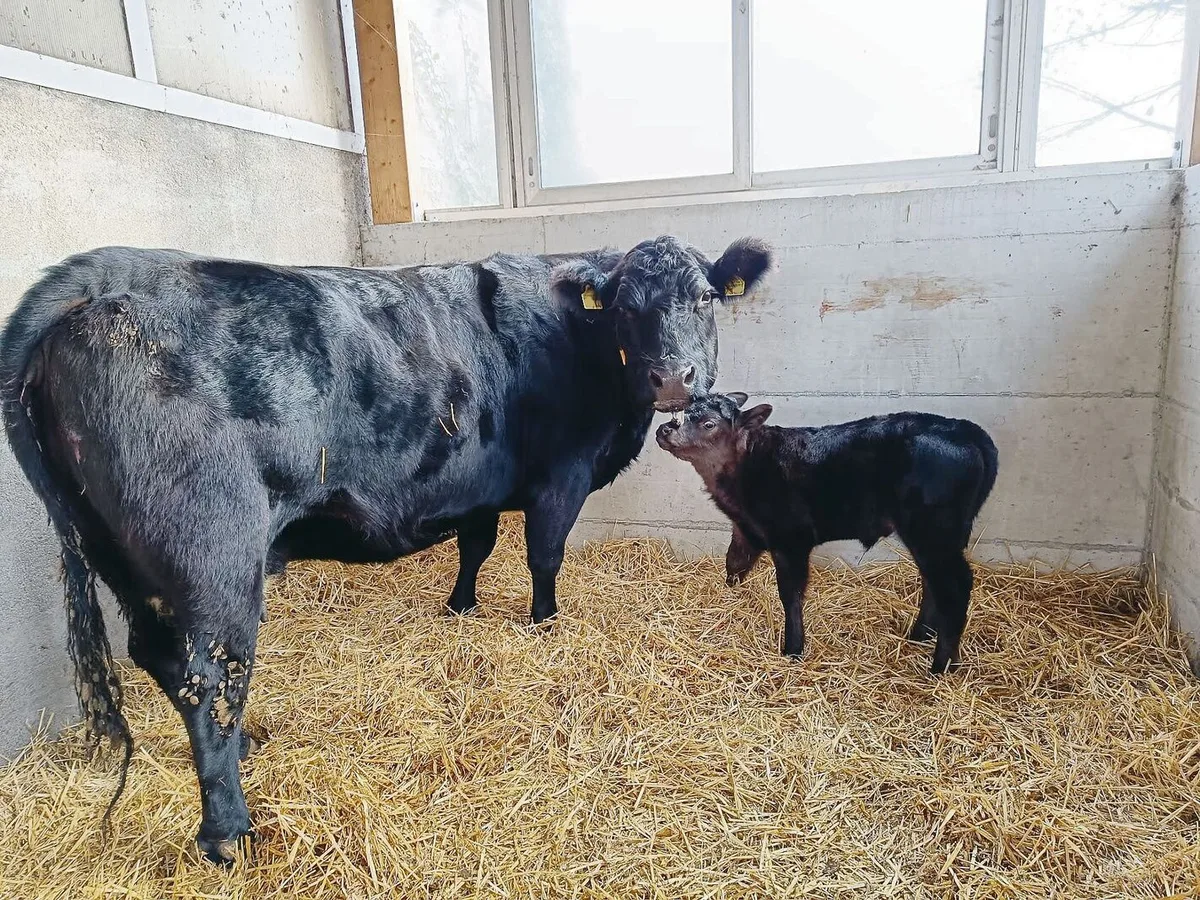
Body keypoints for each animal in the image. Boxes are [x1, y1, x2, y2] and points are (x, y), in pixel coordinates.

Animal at [0, 236, 772, 862]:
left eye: (705, 297)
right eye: (626, 308)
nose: (674, 377)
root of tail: (104, 276)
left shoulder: (478, 483)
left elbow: (476, 544)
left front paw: (460, 607)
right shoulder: (562, 475)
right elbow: (544, 555)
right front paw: (544, 623)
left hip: (120, 555)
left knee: (160, 658)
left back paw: (242, 749)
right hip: (211, 551)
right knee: (210, 674)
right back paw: (228, 833)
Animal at [655, 393, 998, 674]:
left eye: (709, 423)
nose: (663, 430)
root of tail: (967, 431)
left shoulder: (790, 539)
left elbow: (790, 594)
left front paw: (793, 648)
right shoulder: (746, 529)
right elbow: (734, 564)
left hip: (933, 530)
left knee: (954, 585)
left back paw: (941, 665)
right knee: (932, 581)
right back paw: (918, 636)